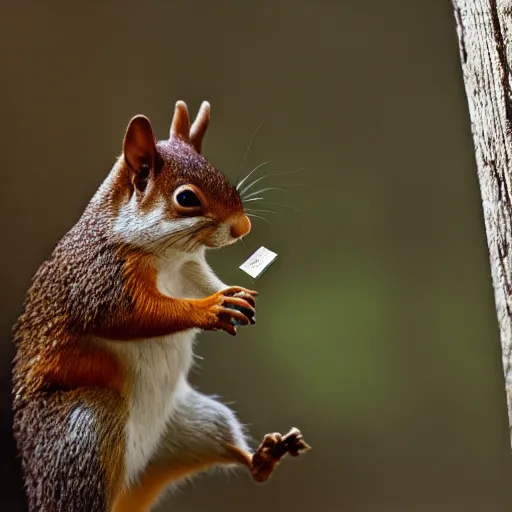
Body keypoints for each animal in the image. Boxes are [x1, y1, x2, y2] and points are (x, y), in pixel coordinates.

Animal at [11, 101, 312, 512]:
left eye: (225, 179)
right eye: (186, 199)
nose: (243, 228)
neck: (164, 254)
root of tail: (129, 485)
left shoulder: (189, 266)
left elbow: (203, 281)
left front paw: (235, 294)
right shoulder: (102, 281)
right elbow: (135, 317)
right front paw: (210, 309)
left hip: (200, 423)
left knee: (243, 461)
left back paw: (267, 456)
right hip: (85, 433)